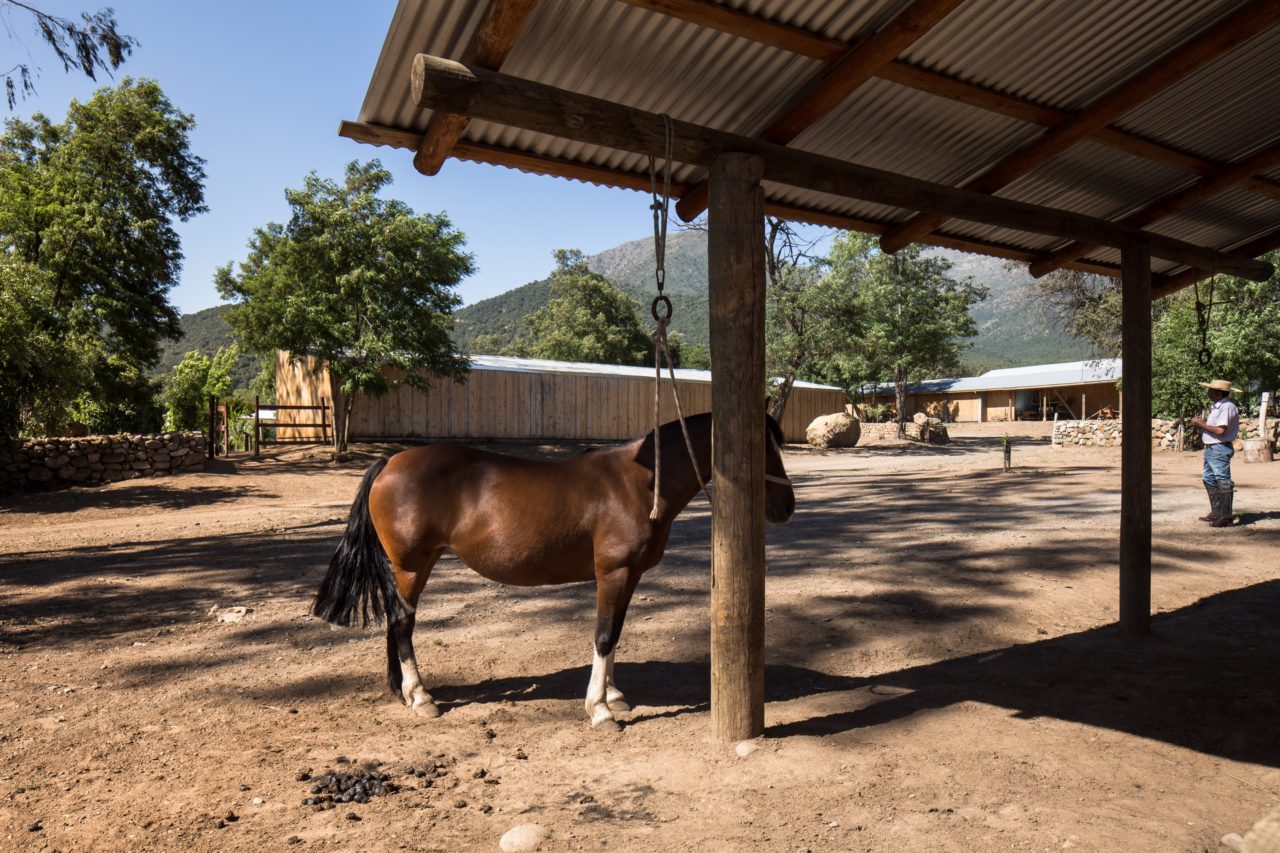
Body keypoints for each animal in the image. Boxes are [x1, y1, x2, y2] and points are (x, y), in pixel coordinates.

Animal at [312, 409, 788, 727]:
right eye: (760, 445)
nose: (785, 508)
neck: (640, 482)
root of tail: (390, 463)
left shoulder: (628, 575)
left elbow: (615, 634)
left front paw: (614, 695)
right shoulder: (613, 573)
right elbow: (603, 635)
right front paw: (599, 710)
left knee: (396, 624)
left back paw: (403, 692)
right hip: (413, 565)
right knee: (402, 623)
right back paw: (421, 696)